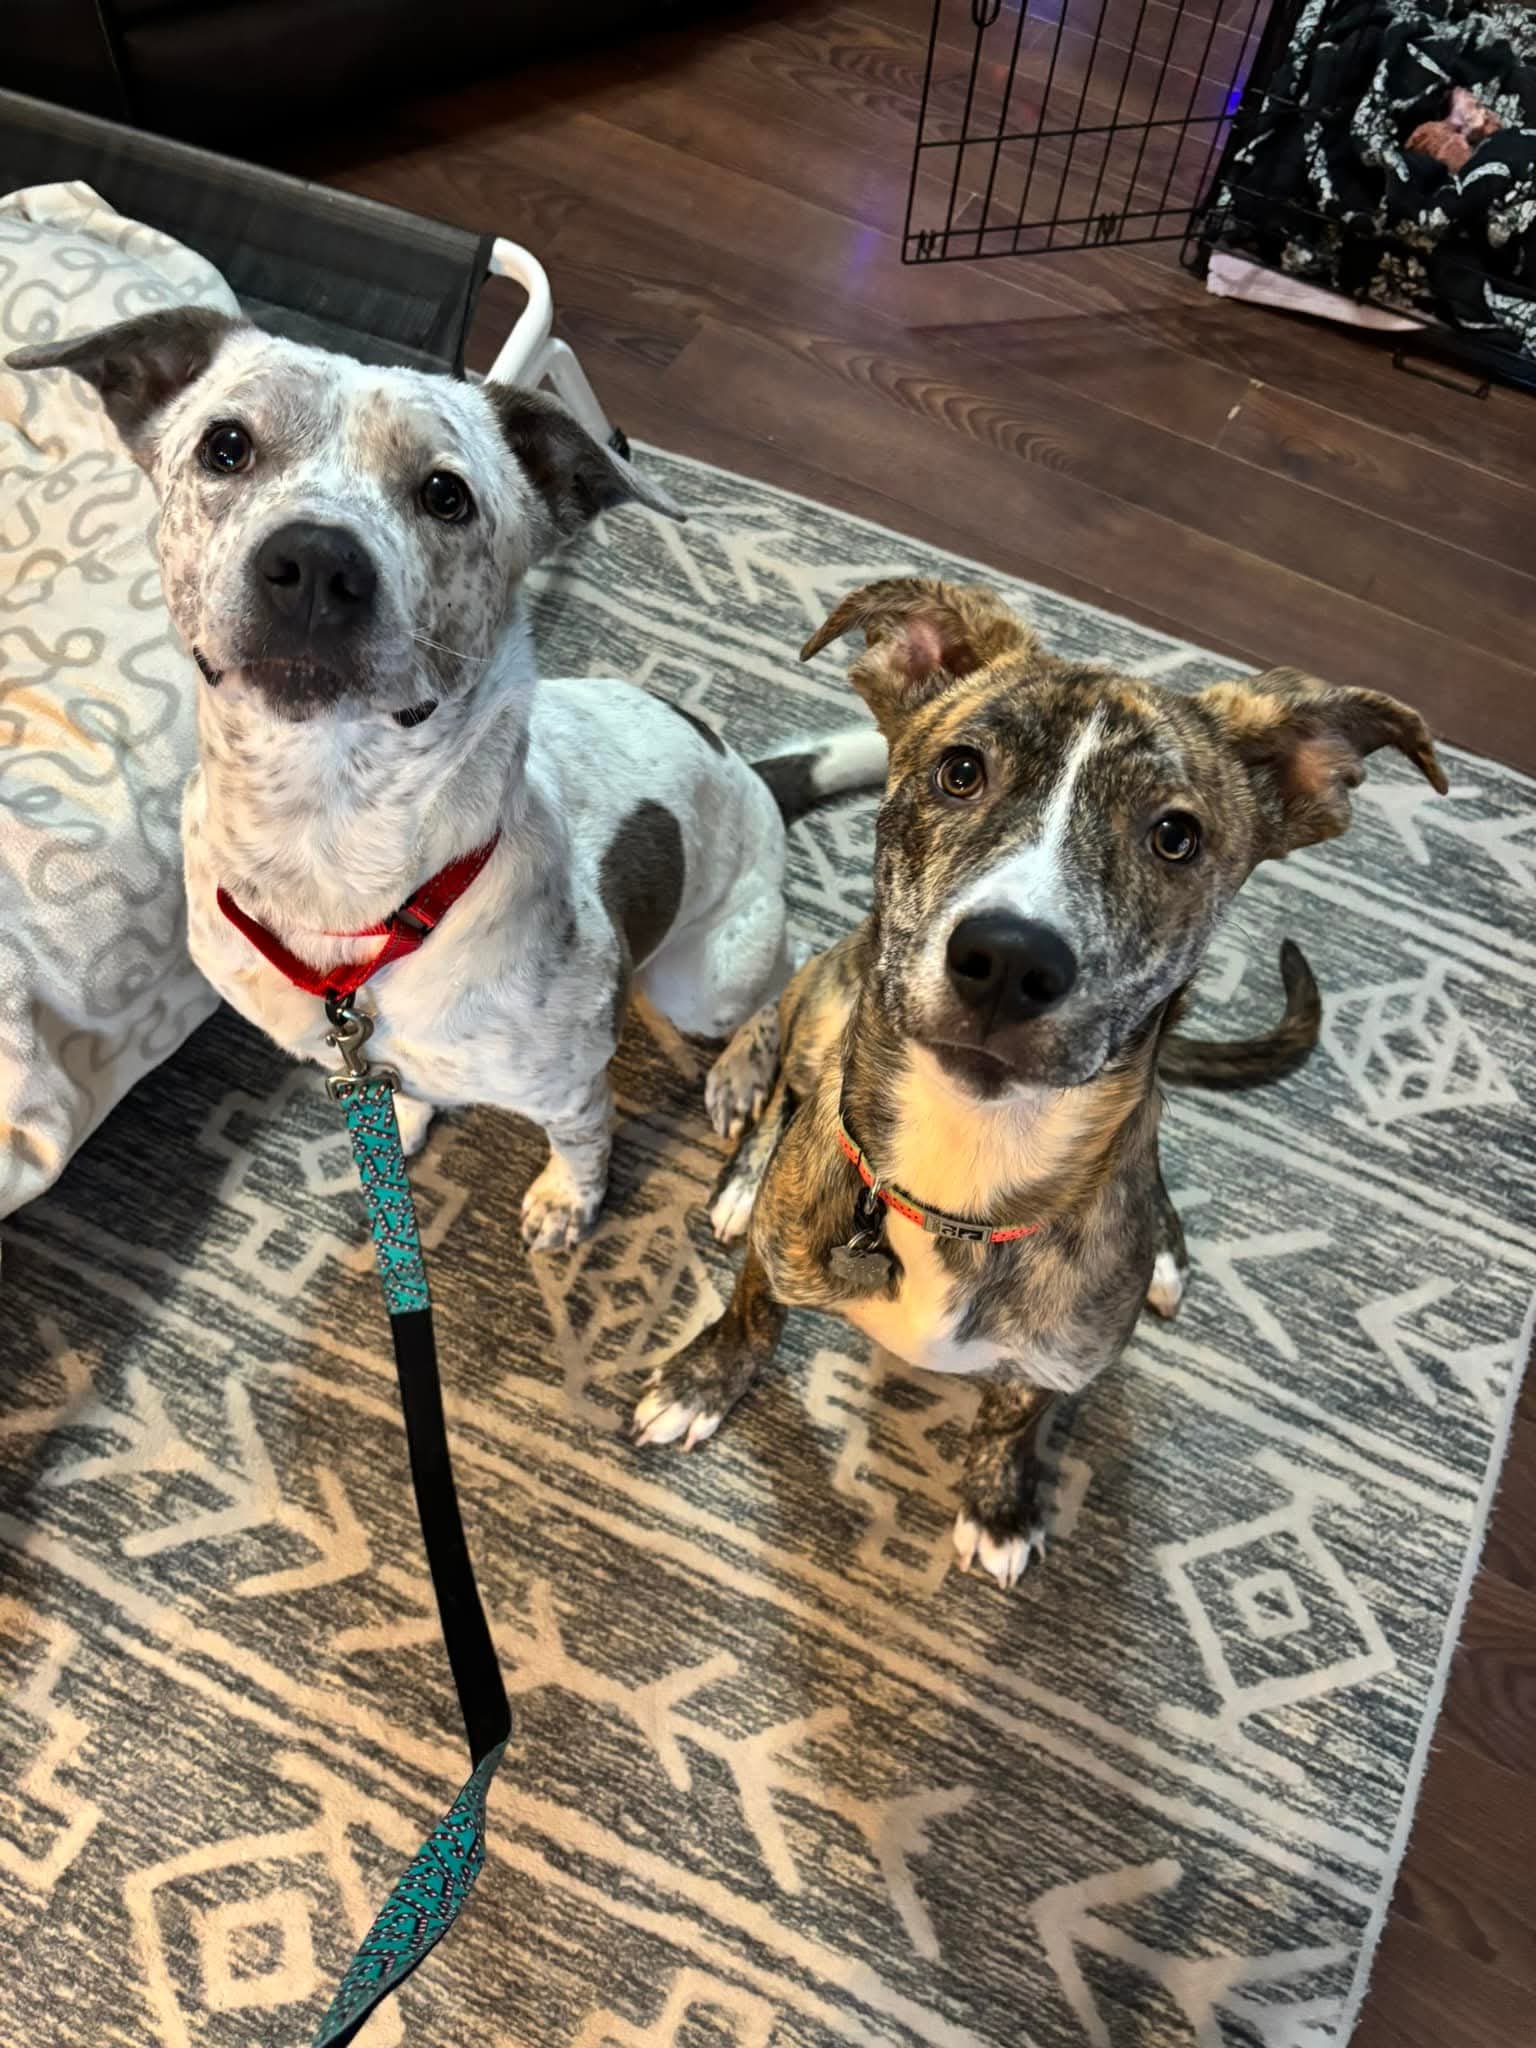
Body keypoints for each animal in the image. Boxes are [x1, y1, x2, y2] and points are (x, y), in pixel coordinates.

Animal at [10, 311, 883, 1247]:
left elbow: (583, 1145)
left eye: (446, 495)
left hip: (707, 979)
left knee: (778, 987)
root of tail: (748, 772)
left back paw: (739, 1073)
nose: (314, 562)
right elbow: (405, 1096)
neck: (329, 840)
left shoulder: (572, 1088)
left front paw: (567, 1202)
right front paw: (407, 1126)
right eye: (227, 446)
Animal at [630, 577, 1447, 1587]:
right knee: (787, 1079)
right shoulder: (785, 1254)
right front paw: (702, 1380)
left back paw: (1165, 1246)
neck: (967, 1165)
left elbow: (1016, 1417)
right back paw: (745, 1174)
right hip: (824, 992)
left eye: (1176, 836)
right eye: (960, 771)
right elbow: (751, 1312)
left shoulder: (1062, 1361)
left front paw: (1000, 1503)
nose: (1010, 960)